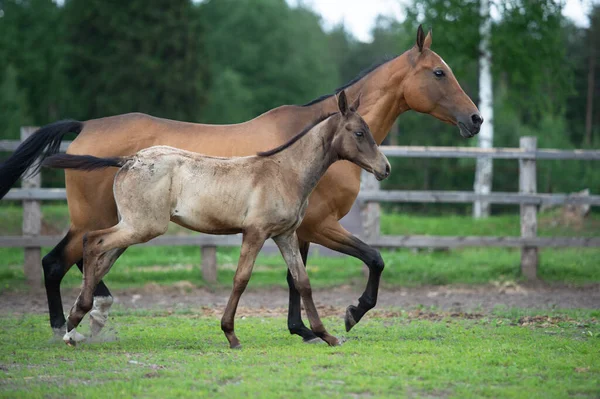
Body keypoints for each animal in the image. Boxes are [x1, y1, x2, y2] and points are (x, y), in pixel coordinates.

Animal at [44, 91, 392, 350]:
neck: (284, 171)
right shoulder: (255, 232)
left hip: (133, 226)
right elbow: (241, 278)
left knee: (99, 257)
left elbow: (302, 281)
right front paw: (230, 334)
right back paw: (73, 322)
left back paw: (76, 322)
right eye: (359, 132)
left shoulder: (286, 235)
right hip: (142, 227)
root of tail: (128, 160)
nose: (385, 168)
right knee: (91, 242)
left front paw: (326, 335)